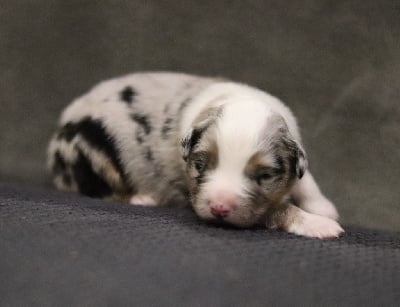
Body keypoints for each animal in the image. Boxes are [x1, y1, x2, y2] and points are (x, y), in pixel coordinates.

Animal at [48, 71, 344, 238]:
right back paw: (141, 198)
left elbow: (306, 179)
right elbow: (277, 208)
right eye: (200, 165)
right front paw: (319, 224)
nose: (219, 208)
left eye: (265, 176)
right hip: (90, 151)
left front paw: (323, 208)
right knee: (94, 187)